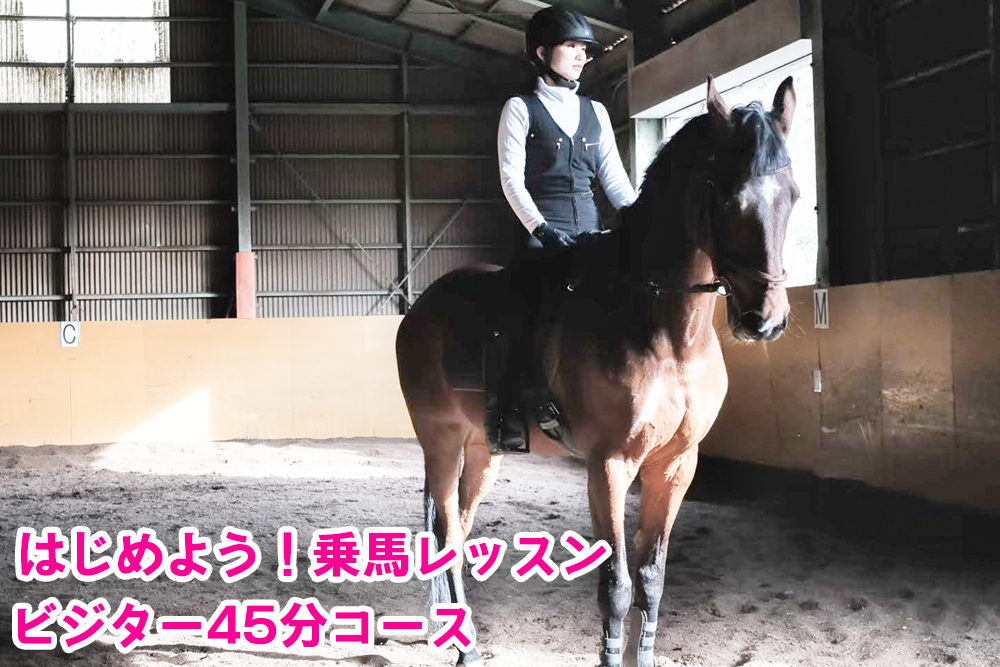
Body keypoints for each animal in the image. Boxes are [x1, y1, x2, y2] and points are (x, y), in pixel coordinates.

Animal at [395, 75, 799, 667]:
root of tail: (420, 308)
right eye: (729, 199)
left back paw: (453, 635)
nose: (764, 321)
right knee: (445, 533)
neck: (666, 332)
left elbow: (651, 579)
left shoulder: (675, 465)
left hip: (482, 447)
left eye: (792, 196)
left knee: (460, 530)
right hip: (441, 439)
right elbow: (617, 585)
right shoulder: (609, 464)